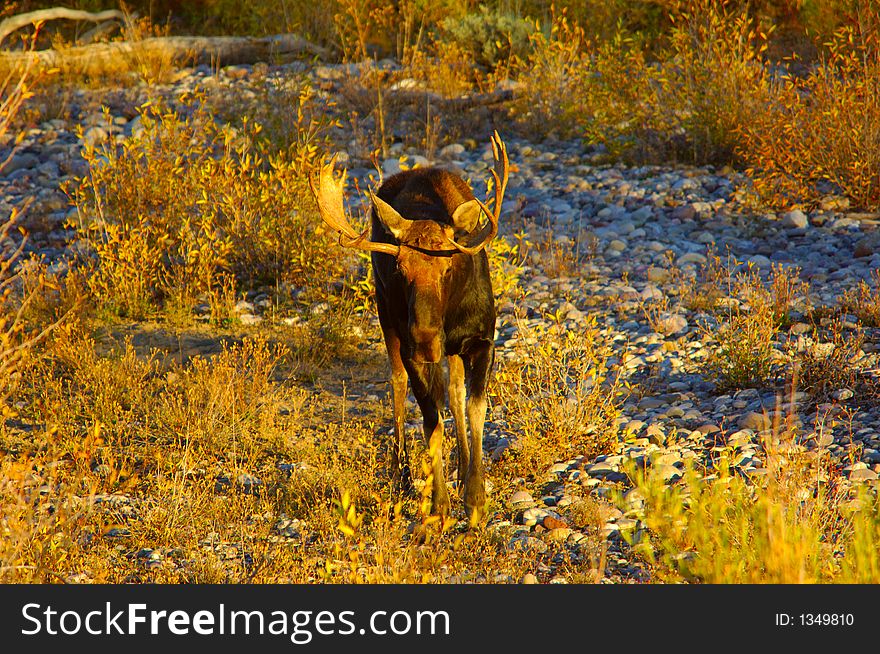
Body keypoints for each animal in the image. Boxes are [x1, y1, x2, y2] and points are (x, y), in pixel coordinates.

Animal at [312, 133, 508, 524]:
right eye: (401, 269)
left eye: (448, 267)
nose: (425, 338)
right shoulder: (412, 348)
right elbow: (432, 422)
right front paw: (440, 506)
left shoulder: (482, 339)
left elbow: (474, 408)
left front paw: (475, 497)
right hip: (387, 317)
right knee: (398, 383)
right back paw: (401, 476)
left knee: (454, 390)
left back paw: (461, 470)